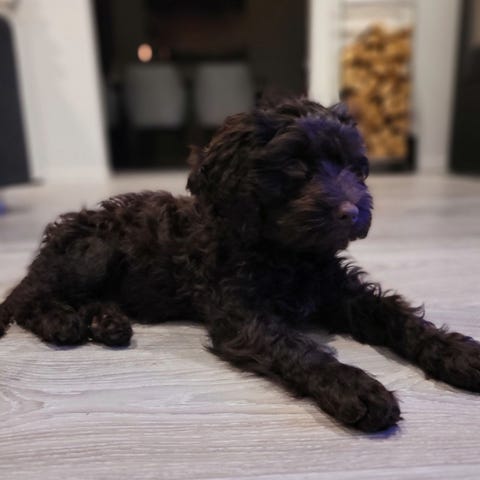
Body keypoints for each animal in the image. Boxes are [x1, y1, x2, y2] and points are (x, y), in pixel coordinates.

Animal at [1, 97, 479, 433]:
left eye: (352, 166)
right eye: (295, 163)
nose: (352, 212)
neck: (287, 253)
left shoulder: (342, 293)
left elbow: (400, 315)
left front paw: (458, 351)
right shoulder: (242, 313)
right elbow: (299, 348)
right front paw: (356, 387)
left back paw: (107, 322)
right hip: (91, 253)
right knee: (29, 297)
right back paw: (62, 322)